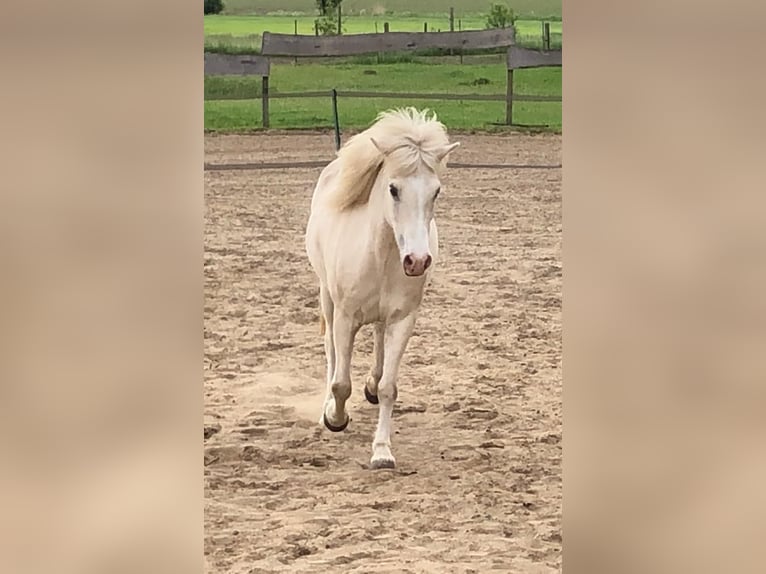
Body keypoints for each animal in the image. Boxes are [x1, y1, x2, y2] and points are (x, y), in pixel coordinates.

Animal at [305, 107, 460, 469]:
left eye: (436, 191)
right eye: (393, 189)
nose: (417, 261)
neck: (381, 256)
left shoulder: (403, 319)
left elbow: (390, 387)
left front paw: (382, 451)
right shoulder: (345, 317)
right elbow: (341, 383)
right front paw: (335, 419)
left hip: (380, 317)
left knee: (377, 341)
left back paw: (371, 387)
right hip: (327, 298)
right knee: (331, 353)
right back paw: (326, 410)